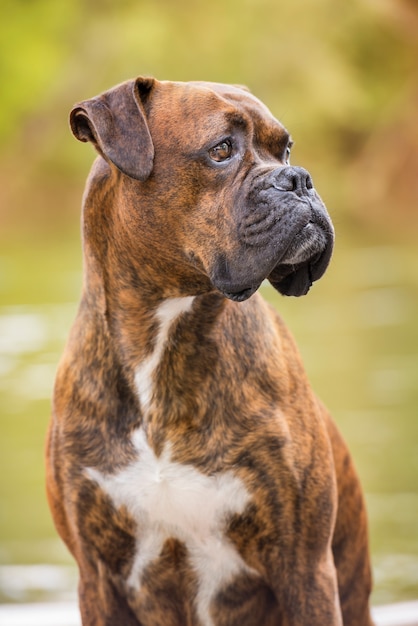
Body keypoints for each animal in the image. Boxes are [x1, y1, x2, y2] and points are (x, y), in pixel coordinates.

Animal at [46, 78, 376, 624]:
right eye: (221, 150)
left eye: (286, 149)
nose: (298, 179)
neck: (164, 341)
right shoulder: (97, 580)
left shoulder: (305, 567)